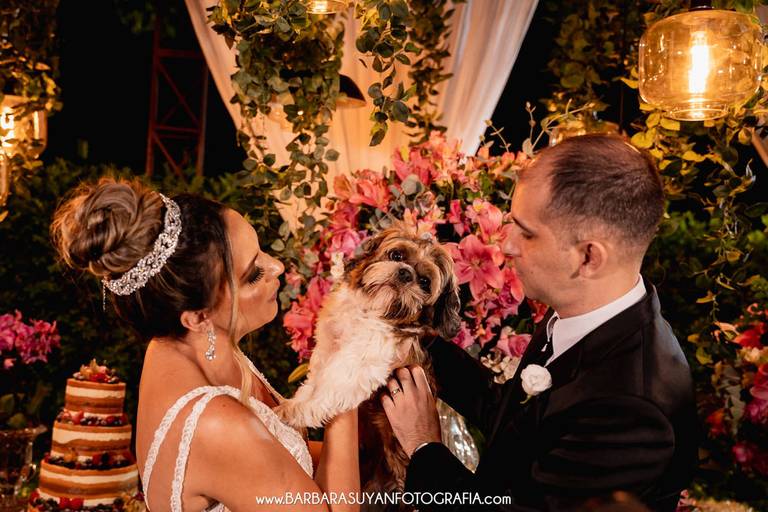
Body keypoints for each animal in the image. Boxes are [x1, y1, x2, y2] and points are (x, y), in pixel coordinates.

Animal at [276, 223, 461, 490]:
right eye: (397, 255)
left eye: (425, 282)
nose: (405, 274)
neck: (371, 312)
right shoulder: (328, 347)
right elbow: (316, 380)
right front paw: (300, 400)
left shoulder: (360, 365)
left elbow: (329, 387)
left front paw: (296, 410)